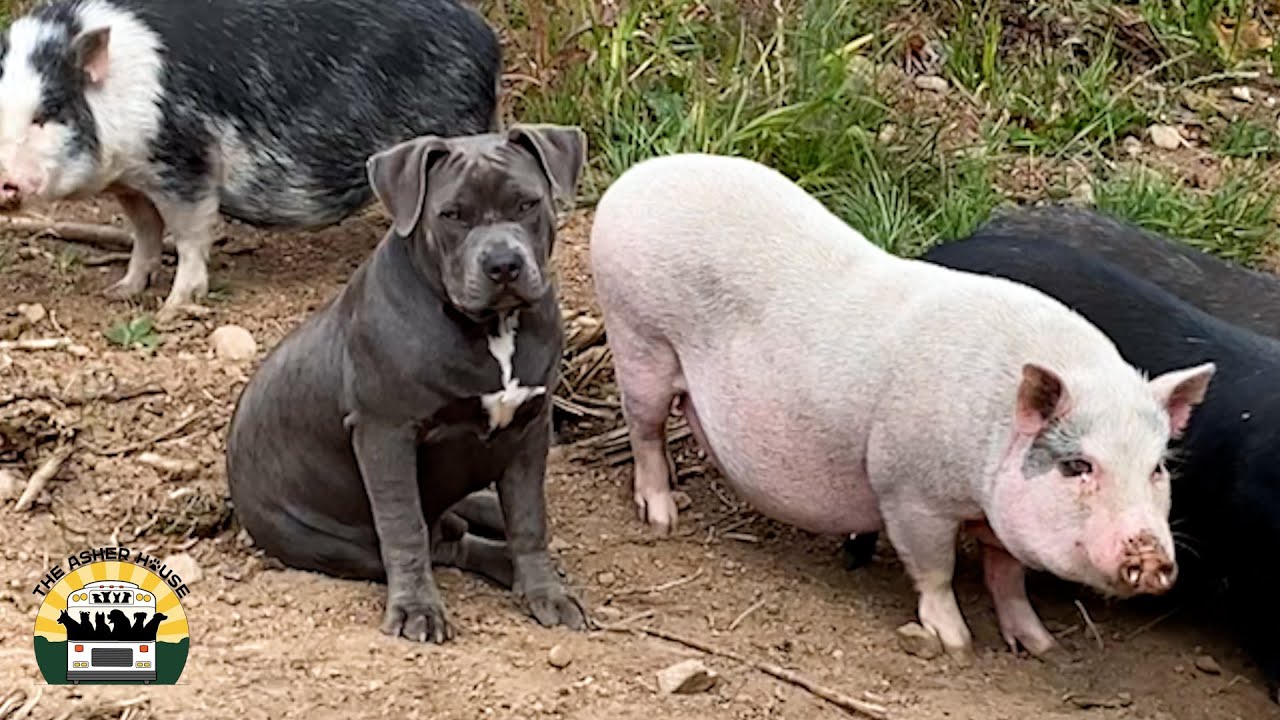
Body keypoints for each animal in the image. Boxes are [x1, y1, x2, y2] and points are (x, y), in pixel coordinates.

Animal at [0, 0, 500, 320]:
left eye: (47, 113)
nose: (6, 181)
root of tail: (487, 42)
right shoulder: (133, 182)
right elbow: (145, 233)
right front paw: (120, 292)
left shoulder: (187, 159)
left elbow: (190, 233)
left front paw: (172, 309)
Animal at [588, 153, 1216, 662]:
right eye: (1077, 466)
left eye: (1157, 468)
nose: (1154, 557)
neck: (989, 434)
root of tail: (636, 178)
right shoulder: (909, 491)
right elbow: (935, 570)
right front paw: (957, 646)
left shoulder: (996, 519)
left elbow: (1008, 577)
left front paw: (1042, 647)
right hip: (638, 337)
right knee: (645, 430)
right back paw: (664, 516)